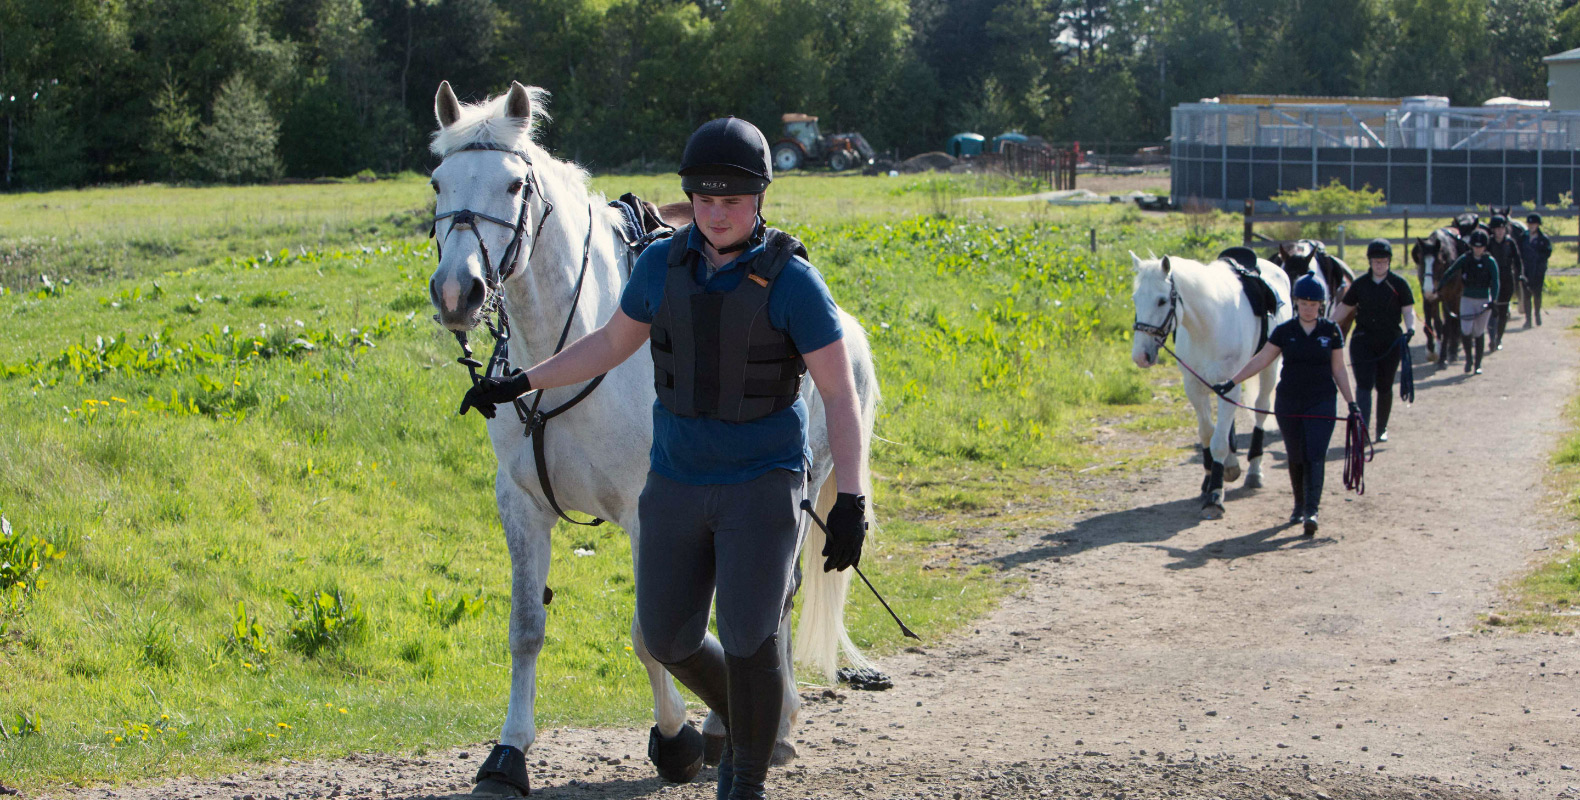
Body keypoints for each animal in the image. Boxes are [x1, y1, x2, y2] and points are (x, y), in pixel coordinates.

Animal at [1130, 253, 1292, 519]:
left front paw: (1215, 495)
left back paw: (1254, 471)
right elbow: (1207, 433)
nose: (1140, 356)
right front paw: (1209, 480)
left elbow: (1217, 442)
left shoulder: (1230, 386)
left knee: (1260, 410)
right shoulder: (1194, 387)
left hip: (1269, 367)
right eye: (1135, 299)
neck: (1207, 326)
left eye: (1162, 300)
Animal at [1410, 227, 1466, 364]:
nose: (1430, 289)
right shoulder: (1428, 298)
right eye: (1421, 261)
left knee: (1455, 321)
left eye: (1439, 262)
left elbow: (1447, 327)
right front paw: (1432, 351)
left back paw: (1453, 349)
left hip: (1456, 297)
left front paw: (1443, 358)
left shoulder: (1449, 298)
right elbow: (1430, 326)